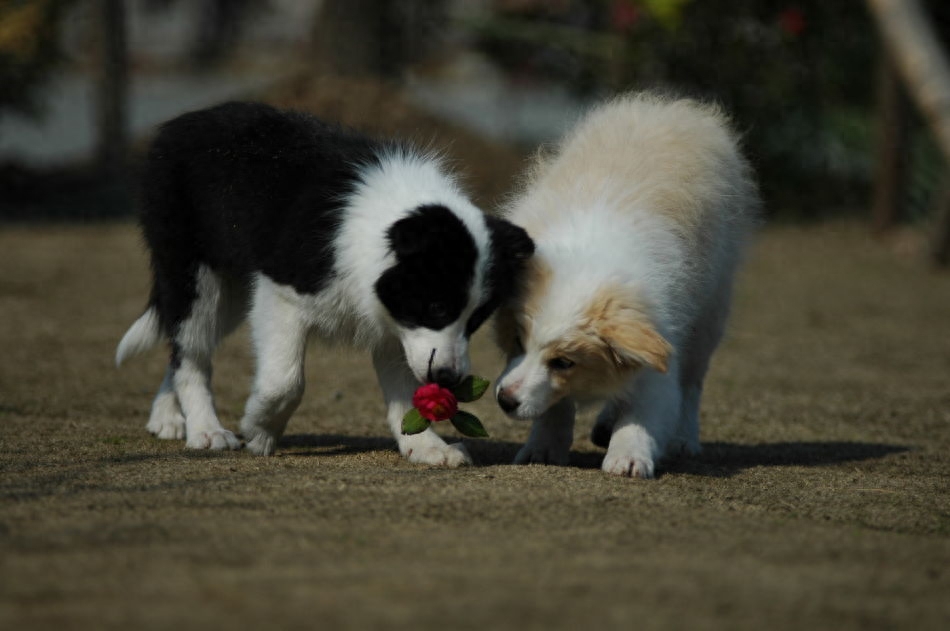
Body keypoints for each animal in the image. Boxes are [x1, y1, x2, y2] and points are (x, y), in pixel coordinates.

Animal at [117, 103, 536, 466]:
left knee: (181, 343)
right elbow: (285, 380)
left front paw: (426, 447)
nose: (450, 378)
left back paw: (168, 417)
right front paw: (260, 430)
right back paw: (206, 430)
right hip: (194, 272)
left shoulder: (396, 320)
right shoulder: (281, 292)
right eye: (437, 307)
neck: (386, 224)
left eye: (477, 320)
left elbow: (406, 388)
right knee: (191, 347)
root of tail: (181, 123)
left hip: (230, 291)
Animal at [494, 92, 764, 478]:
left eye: (564, 362)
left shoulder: (661, 336)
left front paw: (629, 455)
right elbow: (556, 404)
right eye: (517, 341)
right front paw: (543, 447)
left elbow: (644, 408)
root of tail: (673, 107)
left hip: (708, 316)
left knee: (691, 385)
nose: (505, 400)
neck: (590, 257)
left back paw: (683, 439)